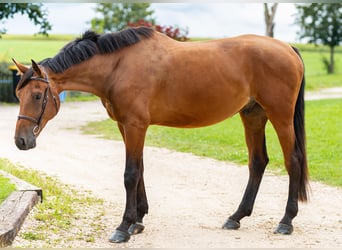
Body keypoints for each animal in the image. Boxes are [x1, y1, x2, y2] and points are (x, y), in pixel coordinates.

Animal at [13, 26, 308, 243]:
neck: (118, 66)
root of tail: (288, 49)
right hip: (253, 115)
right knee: (258, 162)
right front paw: (138, 221)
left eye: (37, 96)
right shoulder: (125, 126)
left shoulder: (135, 125)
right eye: (18, 94)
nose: (21, 140)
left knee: (293, 161)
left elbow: (130, 174)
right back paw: (236, 217)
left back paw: (286, 221)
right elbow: (140, 170)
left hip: (280, 116)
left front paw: (123, 227)